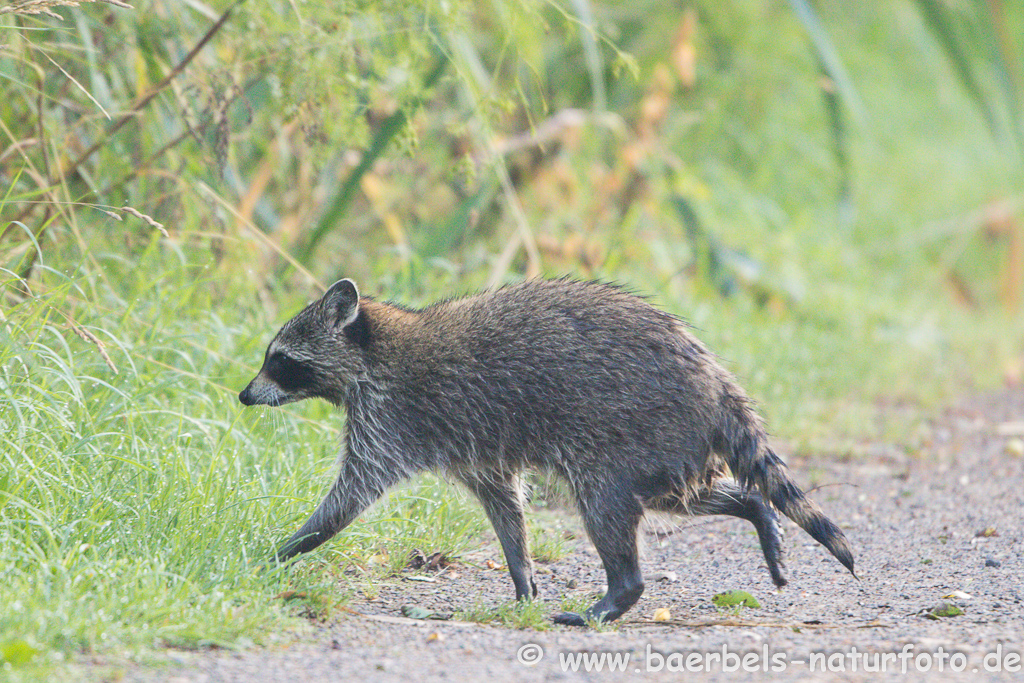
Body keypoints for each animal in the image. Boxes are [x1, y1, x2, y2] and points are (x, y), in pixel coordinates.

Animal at [239, 278, 856, 626]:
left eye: (279, 360)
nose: (243, 395)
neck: (374, 345)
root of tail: (716, 379)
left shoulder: (391, 417)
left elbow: (350, 497)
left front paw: (283, 548)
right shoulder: (475, 450)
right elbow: (504, 506)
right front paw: (521, 574)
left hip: (631, 430)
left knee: (607, 505)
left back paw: (618, 594)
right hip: (673, 443)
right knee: (679, 496)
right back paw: (755, 510)